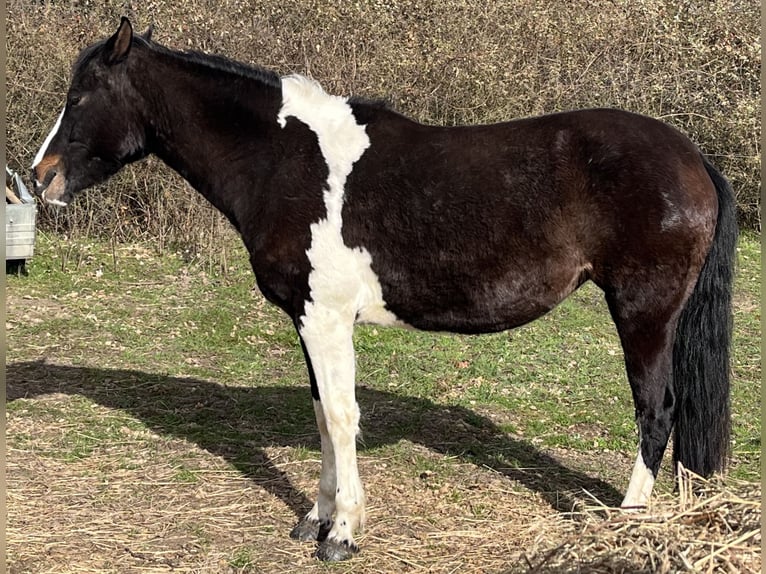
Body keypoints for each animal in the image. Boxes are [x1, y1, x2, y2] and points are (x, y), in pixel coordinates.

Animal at [31, 18, 736, 561]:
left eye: (81, 96)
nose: (40, 178)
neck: (289, 162)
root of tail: (693, 157)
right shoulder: (307, 320)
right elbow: (322, 415)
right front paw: (314, 519)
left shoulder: (325, 319)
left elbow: (344, 418)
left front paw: (342, 534)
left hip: (643, 314)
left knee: (657, 412)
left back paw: (626, 524)